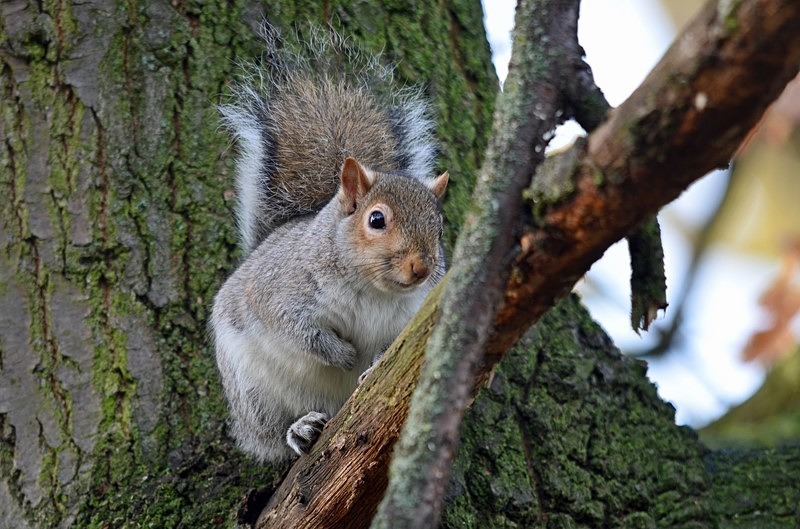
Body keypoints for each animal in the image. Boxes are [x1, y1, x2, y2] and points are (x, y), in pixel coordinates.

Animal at [211, 26, 450, 460]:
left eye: (440, 229)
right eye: (376, 219)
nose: (422, 269)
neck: (372, 289)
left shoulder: (413, 319)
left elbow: (396, 350)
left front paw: (371, 364)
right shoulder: (281, 293)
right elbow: (299, 331)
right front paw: (343, 354)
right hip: (252, 391)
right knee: (271, 433)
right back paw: (299, 430)